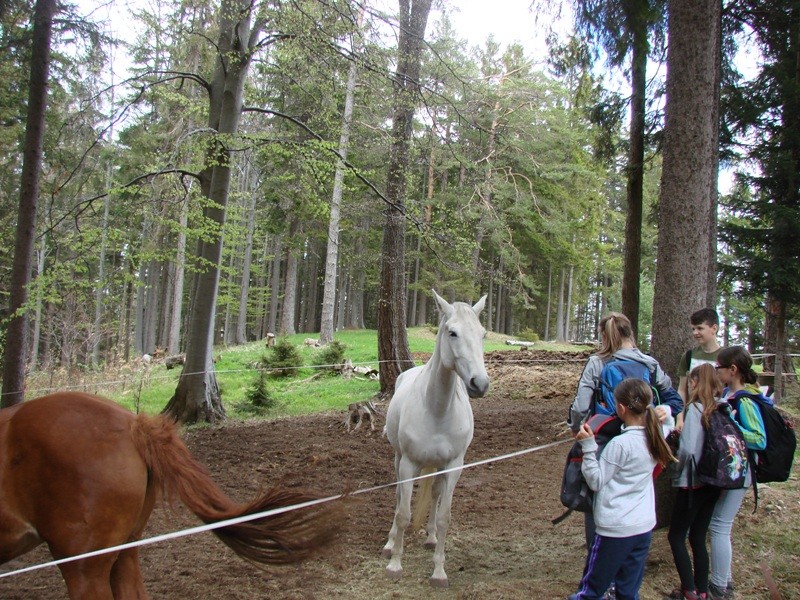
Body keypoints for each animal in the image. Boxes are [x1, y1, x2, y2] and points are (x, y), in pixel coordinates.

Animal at [382, 290, 488, 584]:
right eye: (452, 332)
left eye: (483, 334)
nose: (480, 383)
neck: (437, 410)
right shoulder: (408, 464)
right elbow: (404, 513)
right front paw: (395, 564)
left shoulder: (454, 466)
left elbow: (444, 517)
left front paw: (439, 571)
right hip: (398, 459)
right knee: (398, 496)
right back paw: (390, 542)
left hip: (438, 467)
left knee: (435, 494)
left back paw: (429, 538)